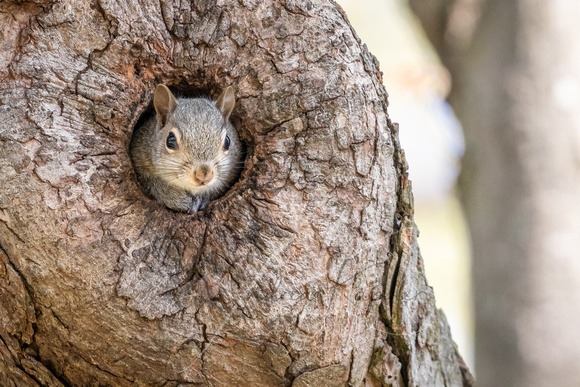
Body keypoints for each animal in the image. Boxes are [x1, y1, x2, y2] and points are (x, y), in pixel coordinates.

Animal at [130, 85, 242, 214]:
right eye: (170, 140)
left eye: (227, 142)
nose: (203, 175)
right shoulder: (139, 158)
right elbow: (153, 183)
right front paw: (177, 198)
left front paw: (204, 197)